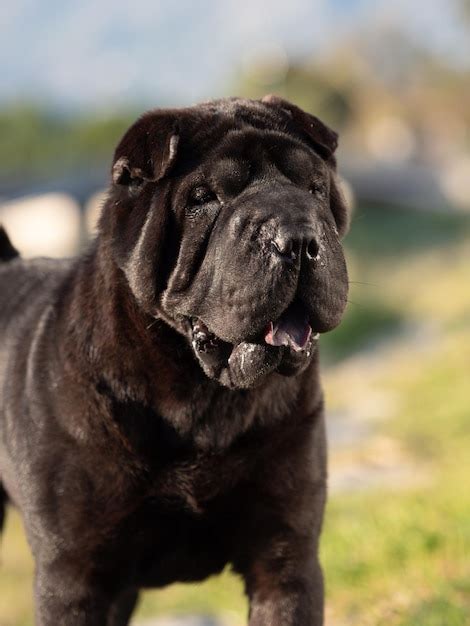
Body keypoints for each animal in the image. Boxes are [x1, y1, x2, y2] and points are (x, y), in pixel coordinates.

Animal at [0, 94, 348, 624]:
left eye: (314, 188)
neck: (200, 394)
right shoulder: (74, 575)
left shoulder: (286, 554)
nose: (295, 236)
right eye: (205, 198)